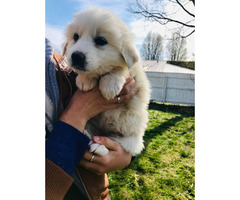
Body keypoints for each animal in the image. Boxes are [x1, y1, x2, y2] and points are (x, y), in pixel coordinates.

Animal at [63, 7, 150, 156]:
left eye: (101, 40)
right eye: (75, 37)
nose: (76, 56)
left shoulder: (135, 76)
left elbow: (121, 68)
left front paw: (110, 85)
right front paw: (85, 80)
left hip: (132, 137)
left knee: (115, 141)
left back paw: (99, 145)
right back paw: (86, 134)